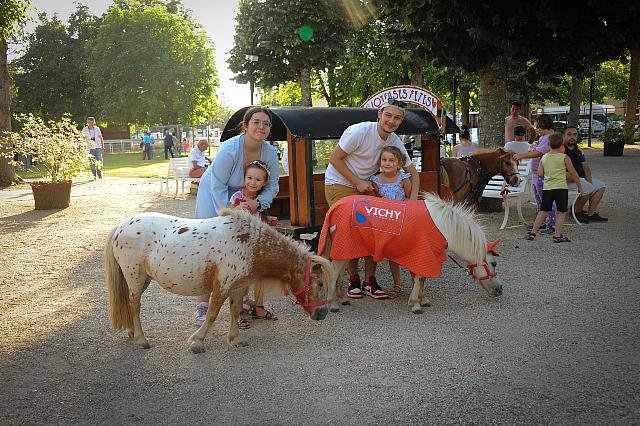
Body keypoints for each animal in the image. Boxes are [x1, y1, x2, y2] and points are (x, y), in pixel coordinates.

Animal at [104, 208, 332, 353]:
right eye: (320, 284)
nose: (322, 314)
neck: (250, 243)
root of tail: (120, 227)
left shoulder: (239, 287)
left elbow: (235, 311)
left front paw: (234, 339)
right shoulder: (221, 287)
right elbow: (212, 314)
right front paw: (197, 342)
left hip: (143, 279)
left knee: (129, 304)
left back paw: (132, 333)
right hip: (135, 277)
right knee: (134, 304)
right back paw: (141, 339)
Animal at [317, 193, 503, 314]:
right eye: (493, 263)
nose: (499, 289)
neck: (444, 226)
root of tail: (335, 207)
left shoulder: (421, 256)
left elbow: (420, 278)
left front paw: (422, 298)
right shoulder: (424, 253)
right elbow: (420, 278)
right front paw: (415, 303)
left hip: (345, 250)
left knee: (338, 274)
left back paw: (342, 298)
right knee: (334, 274)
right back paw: (333, 304)